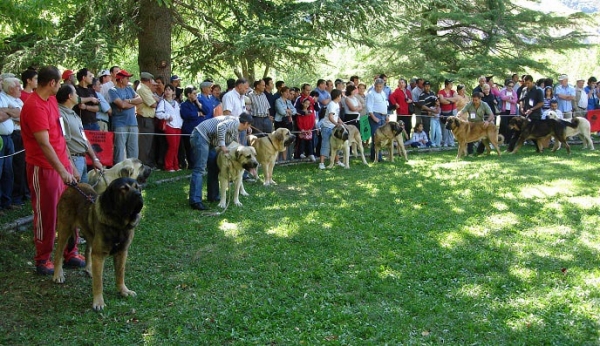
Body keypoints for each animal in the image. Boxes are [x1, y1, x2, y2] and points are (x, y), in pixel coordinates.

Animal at [52, 178, 144, 310]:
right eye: (123, 189)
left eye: (138, 187)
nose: (139, 194)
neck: (119, 224)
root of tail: (73, 185)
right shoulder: (99, 255)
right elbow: (98, 282)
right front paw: (99, 302)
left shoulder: (122, 252)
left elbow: (120, 274)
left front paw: (124, 290)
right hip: (65, 229)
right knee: (58, 253)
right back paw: (58, 274)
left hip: (89, 233)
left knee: (88, 251)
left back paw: (89, 269)